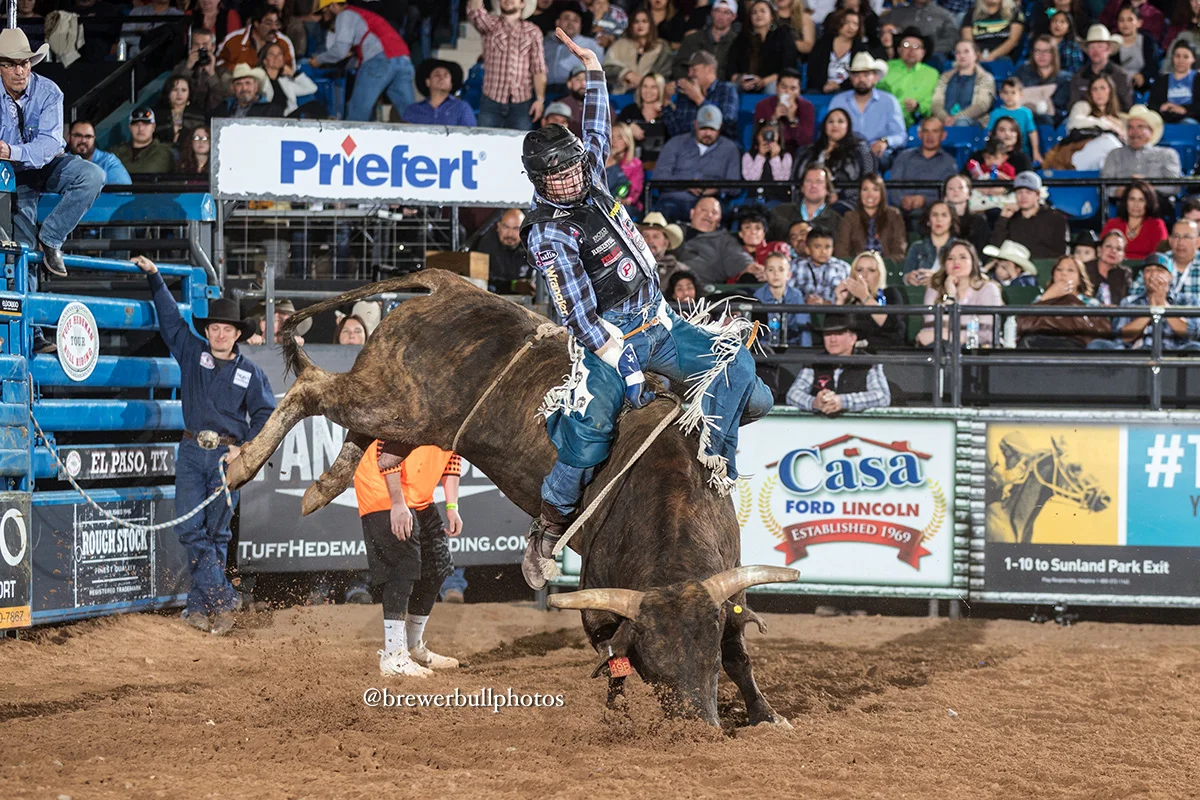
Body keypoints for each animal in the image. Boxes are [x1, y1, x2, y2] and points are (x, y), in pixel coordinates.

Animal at [225, 270, 798, 727]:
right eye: (653, 664)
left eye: (704, 655)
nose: (697, 726)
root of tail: (447, 284)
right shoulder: (598, 594)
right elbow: (611, 657)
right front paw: (618, 712)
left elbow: (738, 652)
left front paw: (767, 715)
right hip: (394, 400)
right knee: (313, 389)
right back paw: (240, 465)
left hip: (406, 418)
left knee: (361, 437)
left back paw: (323, 486)